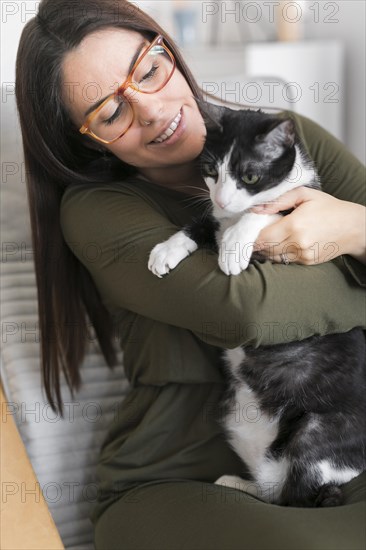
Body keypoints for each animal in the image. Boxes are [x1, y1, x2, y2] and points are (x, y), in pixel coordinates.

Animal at [147, 103, 364, 508]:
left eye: (249, 175)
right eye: (211, 171)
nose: (221, 199)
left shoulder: (298, 212)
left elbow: (265, 212)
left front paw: (234, 245)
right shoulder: (214, 216)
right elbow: (202, 223)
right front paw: (167, 250)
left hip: (317, 431)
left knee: (296, 496)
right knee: (274, 488)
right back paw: (237, 483)